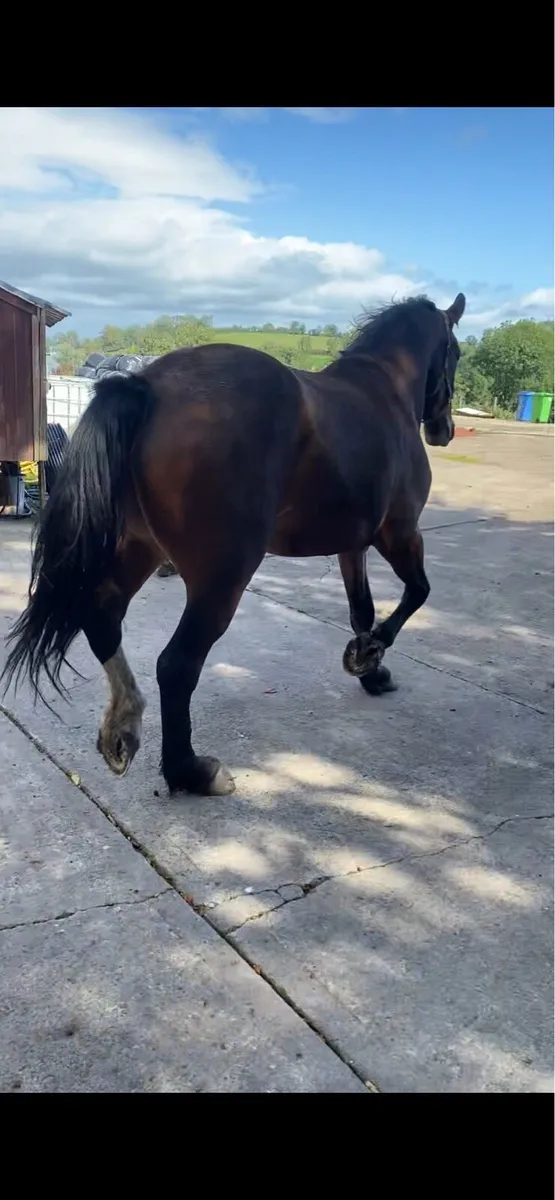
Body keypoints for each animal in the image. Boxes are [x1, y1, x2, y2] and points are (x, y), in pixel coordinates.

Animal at [2, 292, 465, 797]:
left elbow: (361, 609)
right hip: (222, 577)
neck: (384, 390)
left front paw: (369, 667)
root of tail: (147, 386)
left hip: (139, 549)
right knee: (177, 664)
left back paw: (122, 729)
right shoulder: (401, 535)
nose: (444, 430)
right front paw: (373, 652)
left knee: (103, 619)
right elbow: (416, 593)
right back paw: (190, 771)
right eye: (457, 354)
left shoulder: (352, 545)